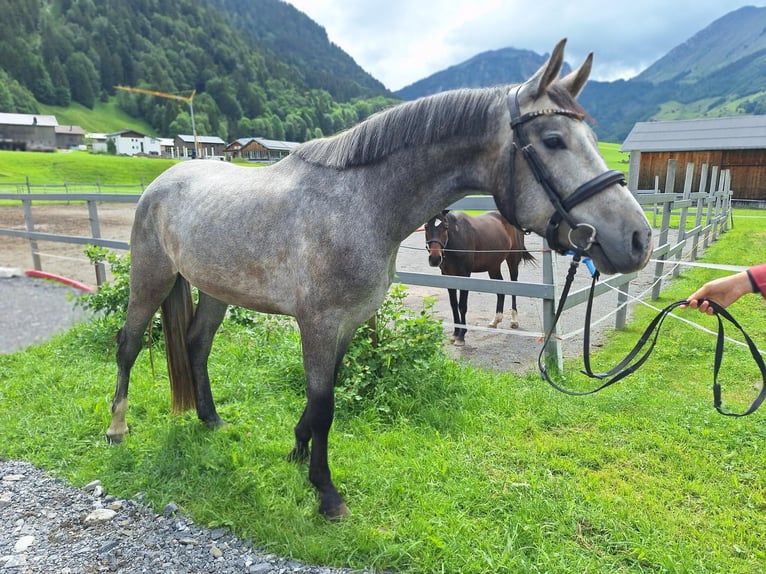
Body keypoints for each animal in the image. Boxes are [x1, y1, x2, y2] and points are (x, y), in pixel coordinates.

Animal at [424, 209, 535, 345]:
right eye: (426, 227)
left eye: (445, 227)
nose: (435, 258)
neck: (458, 236)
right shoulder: (447, 275)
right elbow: (453, 305)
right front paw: (455, 334)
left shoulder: (465, 275)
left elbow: (462, 305)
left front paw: (461, 336)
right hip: (493, 266)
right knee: (500, 290)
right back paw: (495, 320)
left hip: (512, 261)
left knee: (513, 285)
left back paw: (514, 321)